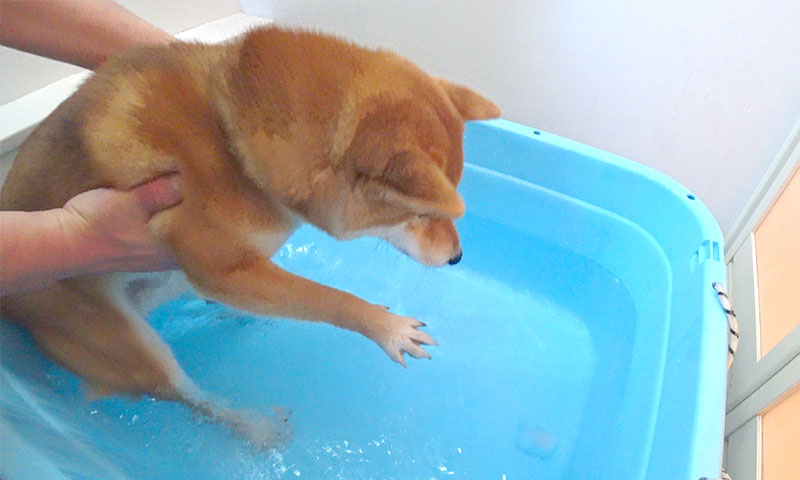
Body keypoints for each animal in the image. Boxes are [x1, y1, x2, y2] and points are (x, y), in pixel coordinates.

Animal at [0, 26, 500, 446]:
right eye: (423, 213)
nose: (458, 257)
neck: (228, 137)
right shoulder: (220, 268)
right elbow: (325, 298)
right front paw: (385, 325)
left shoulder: (231, 270)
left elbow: (289, 291)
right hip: (128, 344)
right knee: (187, 396)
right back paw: (250, 425)